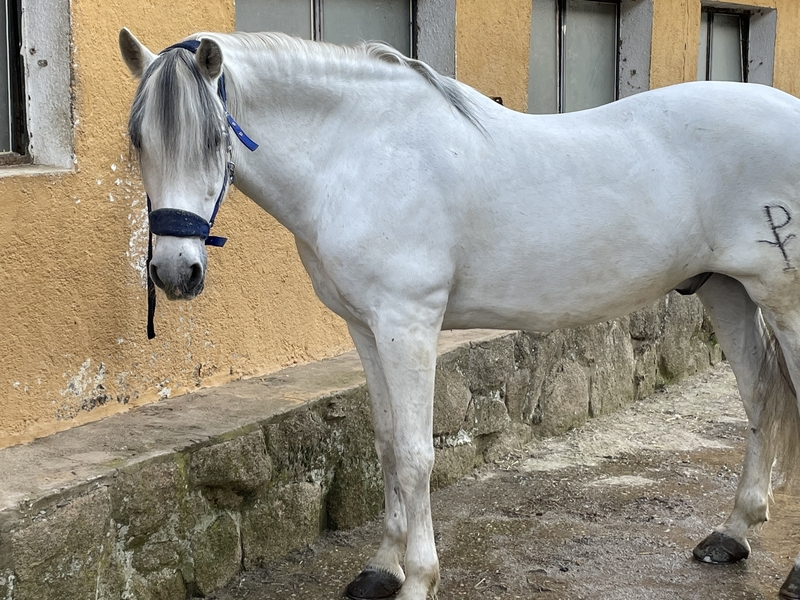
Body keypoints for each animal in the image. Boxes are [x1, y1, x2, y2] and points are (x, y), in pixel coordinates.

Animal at [119, 28, 800, 599]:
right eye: (138, 142)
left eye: (214, 139)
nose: (174, 273)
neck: (362, 154)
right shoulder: (366, 328)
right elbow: (386, 444)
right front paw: (380, 570)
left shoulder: (409, 325)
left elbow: (417, 453)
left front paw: (418, 579)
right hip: (727, 292)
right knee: (761, 398)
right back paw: (732, 534)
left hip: (784, 302)